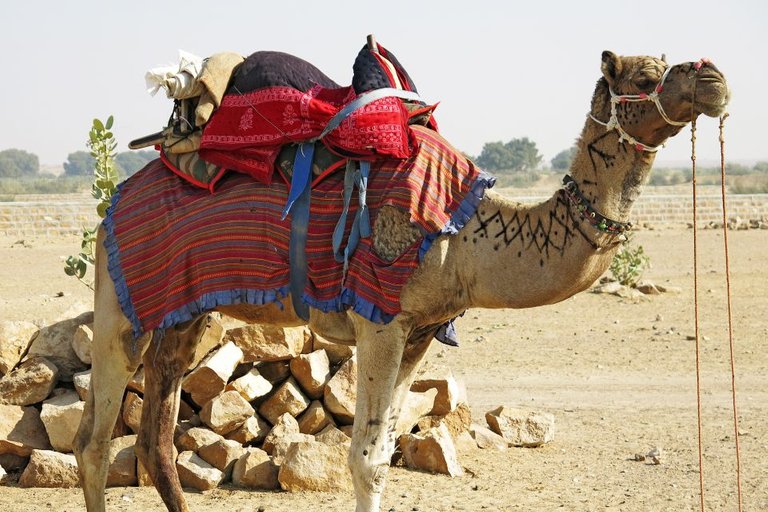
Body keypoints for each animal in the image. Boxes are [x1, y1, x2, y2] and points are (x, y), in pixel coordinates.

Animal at [75, 49, 728, 512]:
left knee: (156, 436)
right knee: (93, 440)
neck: (467, 238)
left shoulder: (421, 331)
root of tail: (114, 202)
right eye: (646, 74)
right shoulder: (380, 319)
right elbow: (365, 460)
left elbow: (385, 450)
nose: (714, 76)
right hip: (121, 302)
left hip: (188, 311)